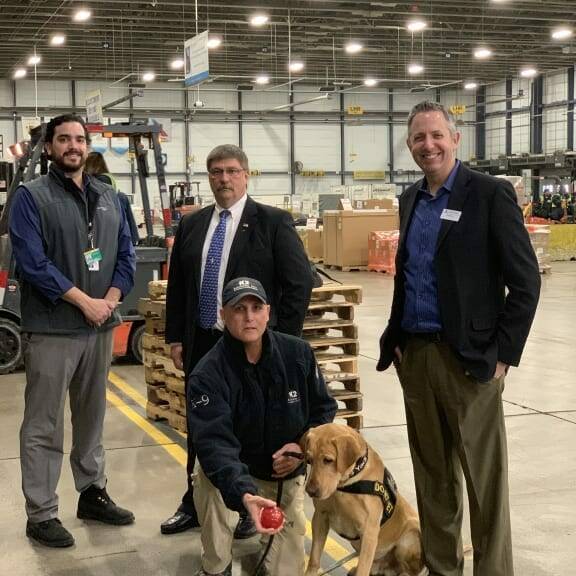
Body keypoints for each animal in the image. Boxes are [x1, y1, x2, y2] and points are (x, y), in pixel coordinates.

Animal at [302, 424, 424, 576]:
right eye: (309, 460)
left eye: (328, 460)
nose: (310, 491)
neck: (345, 485)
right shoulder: (320, 517)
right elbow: (314, 557)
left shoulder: (369, 532)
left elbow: (363, 568)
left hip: (411, 533)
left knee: (410, 569)